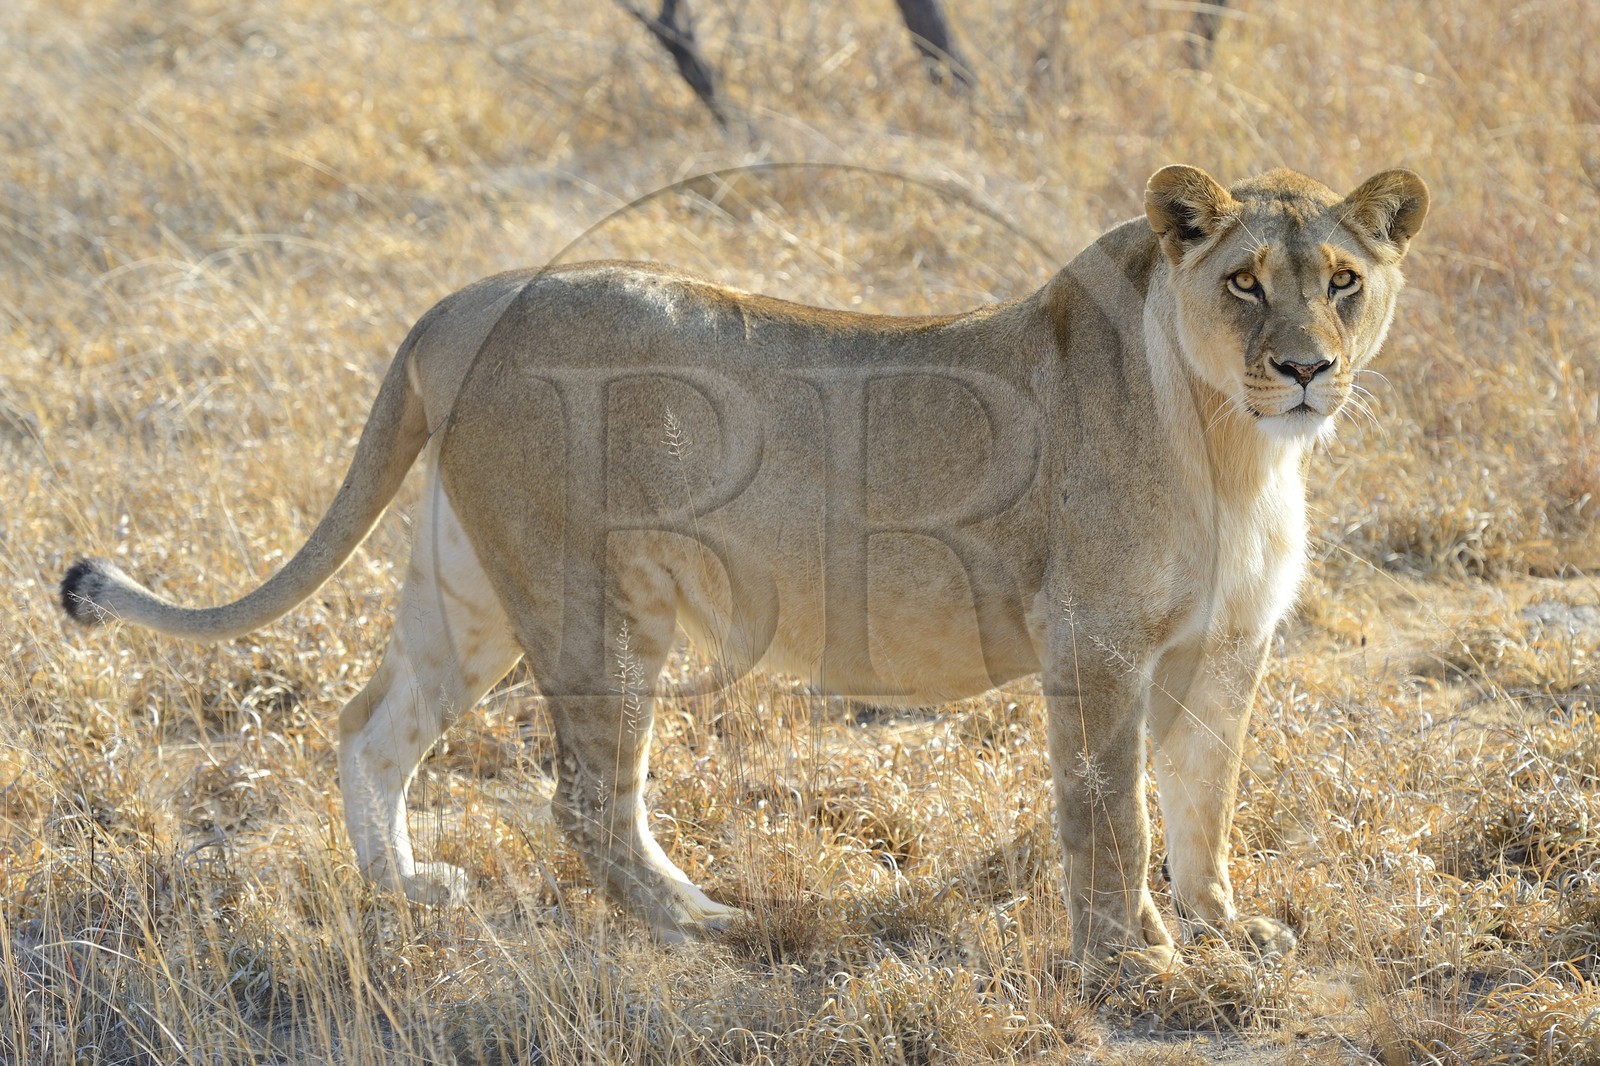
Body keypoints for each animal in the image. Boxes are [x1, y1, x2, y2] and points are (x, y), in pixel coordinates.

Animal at [60, 164, 1427, 975]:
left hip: (473, 588)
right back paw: (708, 923)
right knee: (585, 801)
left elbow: (1203, 797)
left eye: (1343, 283)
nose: (1306, 369)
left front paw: (1226, 926)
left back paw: (403, 891)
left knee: (366, 725)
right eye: (1242, 280)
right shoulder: (1093, 642)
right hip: (595, 599)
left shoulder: (1228, 646)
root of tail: (462, 301)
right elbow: (1114, 811)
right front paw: (1136, 960)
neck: (1238, 450)